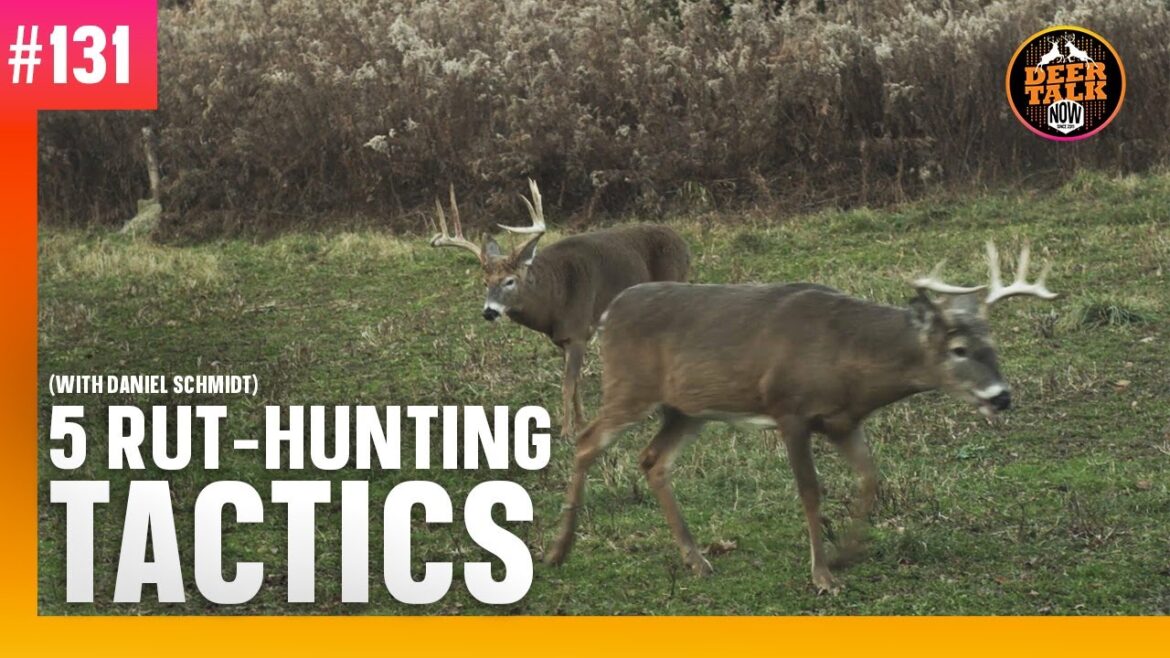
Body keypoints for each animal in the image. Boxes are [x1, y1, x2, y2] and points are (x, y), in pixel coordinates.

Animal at [428, 179, 691, 439]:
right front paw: (581, 422)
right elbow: (576, 383)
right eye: (485, 282)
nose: (489, 311)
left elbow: (567, 384)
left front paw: (566, 431)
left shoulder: (578, 331)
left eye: (509, 281)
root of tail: (682, 243)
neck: (555, 297)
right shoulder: (564, 339)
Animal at [545, 242, 1058, 593]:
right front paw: (823, 575)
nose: (1002, 397)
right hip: (630, 386)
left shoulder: (844, 421)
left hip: (688, 410)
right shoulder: (789, 409)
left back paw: (697, 560)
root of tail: (610, 311)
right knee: (587, 440)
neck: (849, 358)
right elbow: (810, 492)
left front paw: (846, 554)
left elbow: (870, 479)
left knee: (653, 461)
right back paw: (559, 549)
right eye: (959, 350)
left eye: (994, 346)